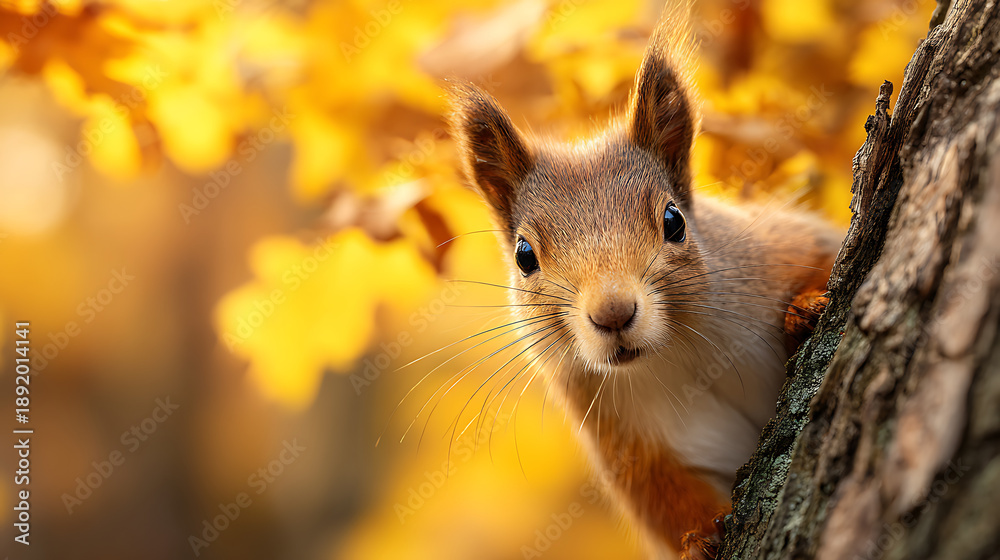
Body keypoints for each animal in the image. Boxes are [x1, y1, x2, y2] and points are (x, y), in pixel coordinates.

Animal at [447, 8, 843, 560]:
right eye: (525, 256)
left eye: (674, 221)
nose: (613, 313)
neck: (672, 351)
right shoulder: (627, 440)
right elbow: (665, 498)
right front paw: (697, 540)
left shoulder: (774, 253)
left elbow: (823, 256)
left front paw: (804, 307)